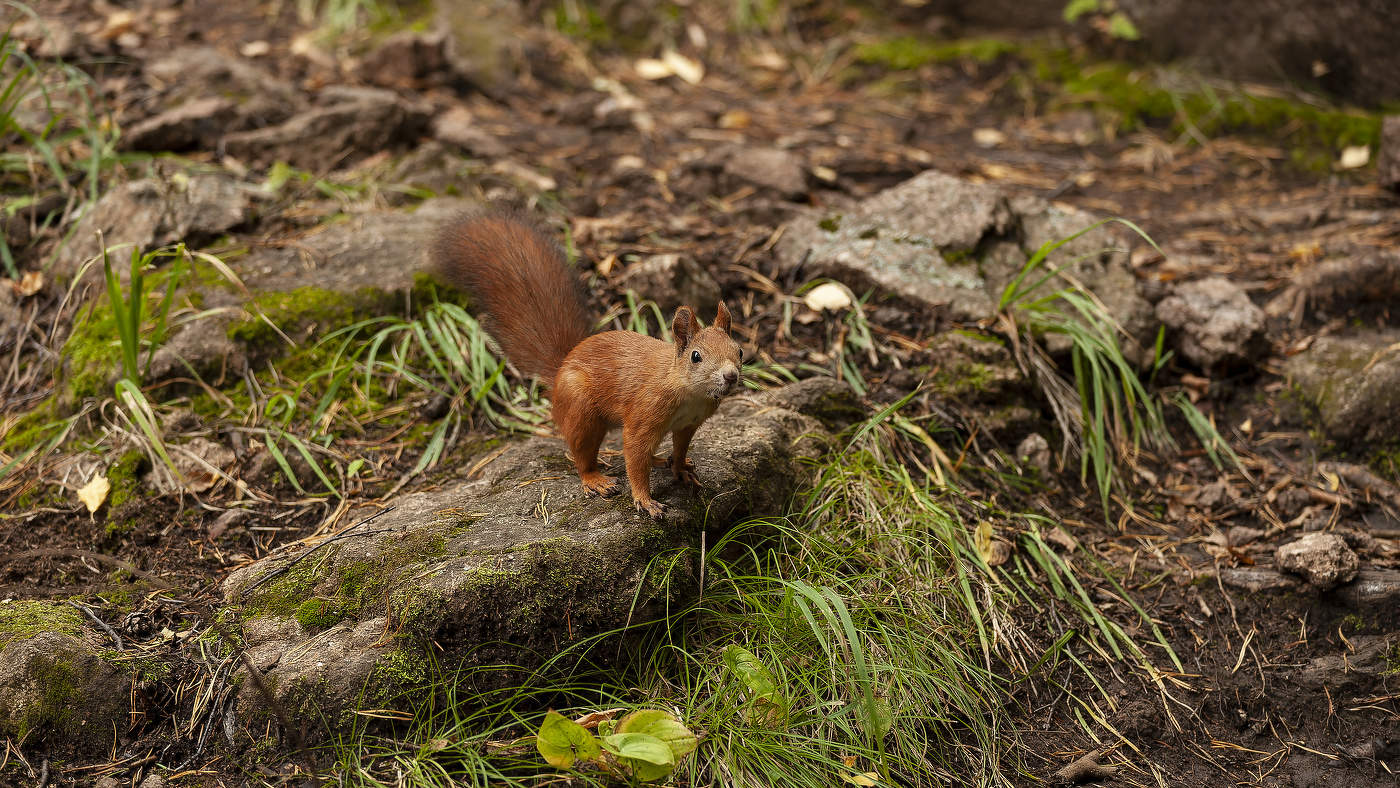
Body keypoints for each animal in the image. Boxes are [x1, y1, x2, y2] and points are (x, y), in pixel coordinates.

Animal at [432, 211, 744, 516]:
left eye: (739, 351)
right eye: (696, 356)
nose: (730, 376)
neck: (688, 391)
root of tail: (559, 371)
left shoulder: (689, 424)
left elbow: (679, 449)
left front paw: (680, 469)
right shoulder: (645, 414)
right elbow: (634, 456)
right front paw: (644, 499)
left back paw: (659, 460)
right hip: (581, 410)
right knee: (582, 455)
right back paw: (595, 479)